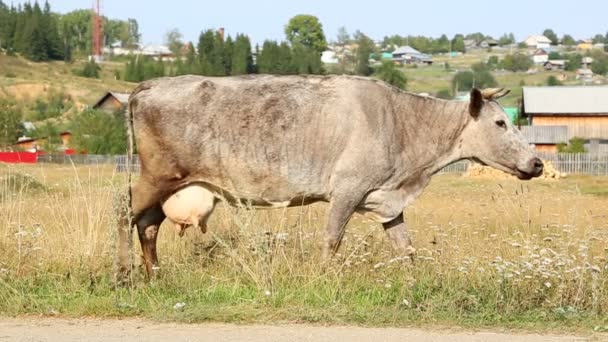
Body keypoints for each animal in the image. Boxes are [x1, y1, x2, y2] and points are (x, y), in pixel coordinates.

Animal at [116, 74, 544, 278]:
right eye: (501, 123)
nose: (538, 163)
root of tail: (148, 86)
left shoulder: (387, 199)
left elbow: (405, 247)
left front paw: (417, 284)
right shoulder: (347, 190)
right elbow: (332, 240)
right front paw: (322, 278)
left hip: (170, 184)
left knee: (148, 224)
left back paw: (154, 275)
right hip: (155, 176)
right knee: (125, 213)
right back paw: (123, 274)